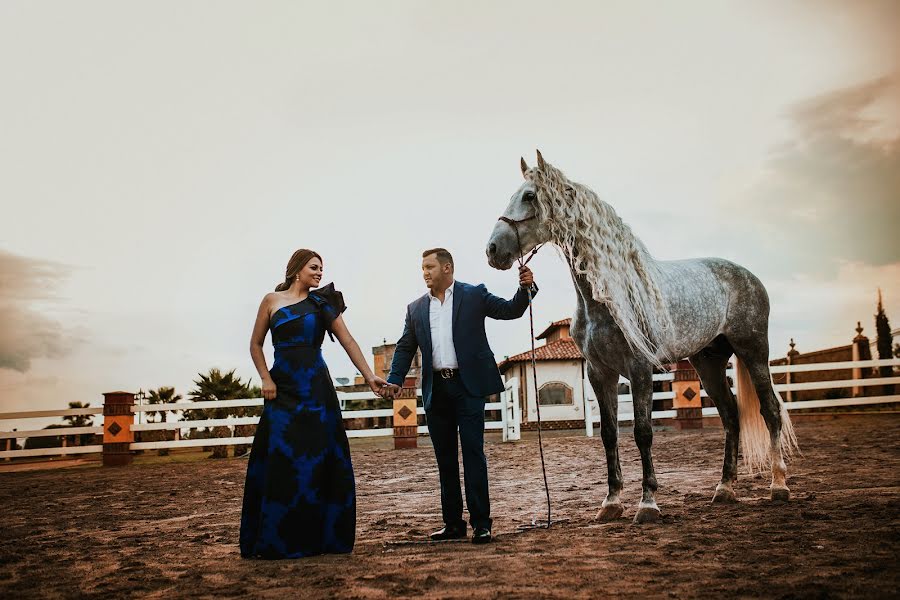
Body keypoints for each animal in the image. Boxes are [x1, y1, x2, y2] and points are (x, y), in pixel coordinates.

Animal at [488, 151, 800, 524]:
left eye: (530, 196)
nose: (493, 250)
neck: (609, 297)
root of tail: (748, 276)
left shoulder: (639, 368)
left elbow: (642, 432)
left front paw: (647, 503)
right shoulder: (599, 372)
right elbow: (609, 434)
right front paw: (611, 502)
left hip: (753, 351)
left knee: (770, 410)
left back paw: (779, 486)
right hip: (708, 362)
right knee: (730, 416)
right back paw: (724, 489)